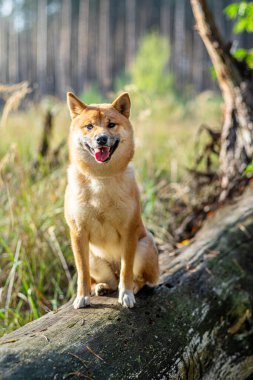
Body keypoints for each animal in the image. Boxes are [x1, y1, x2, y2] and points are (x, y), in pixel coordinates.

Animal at [65, 92, 159, 308]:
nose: (101, 139)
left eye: (111, 124)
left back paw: (133, 287)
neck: (101, 178)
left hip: (145, 245)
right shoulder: (78, 233)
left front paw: (126, 294)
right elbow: (82, 273)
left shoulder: (129, 231)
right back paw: (100, 287)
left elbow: (127, 270)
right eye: (89, 126)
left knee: (140, 279)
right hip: (94, 257)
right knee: (108, 280)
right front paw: (82, 296)